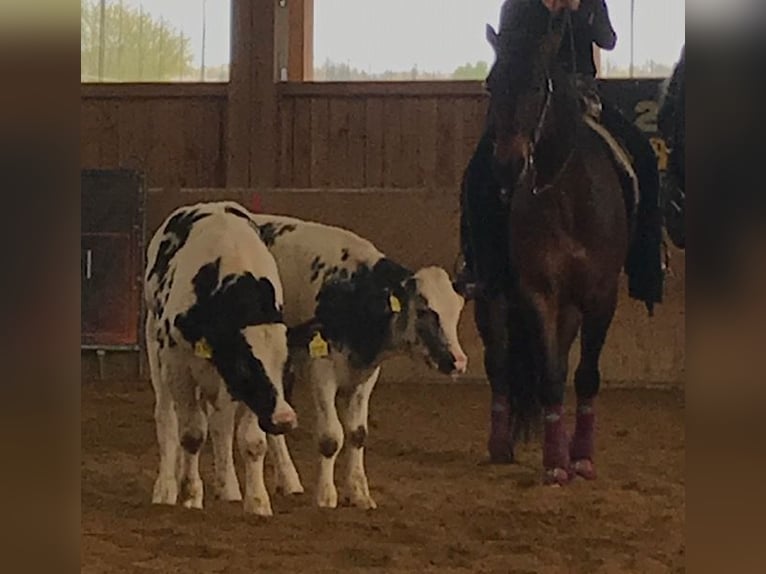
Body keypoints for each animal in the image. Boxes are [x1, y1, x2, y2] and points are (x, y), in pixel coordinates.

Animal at [472, 0, 657, 485]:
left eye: (539, 84)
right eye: (491, 82)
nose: (508, 165)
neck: (567, 193)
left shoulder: (601, 295)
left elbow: (585, 376)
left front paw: (581, 457)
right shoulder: (537, 291)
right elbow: (551, 375)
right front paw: (555, 462)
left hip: (574, 305)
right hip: (491, 296)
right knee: (499, 364)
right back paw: (500, 443)